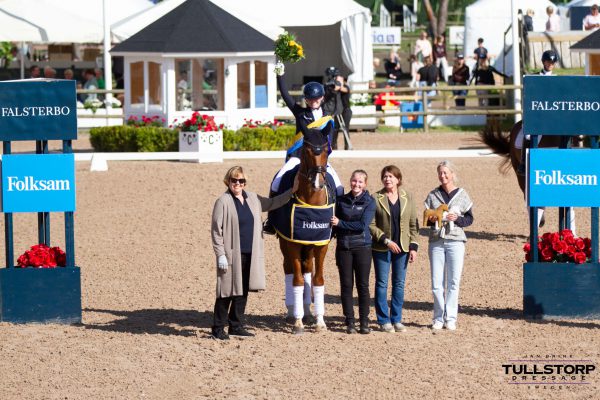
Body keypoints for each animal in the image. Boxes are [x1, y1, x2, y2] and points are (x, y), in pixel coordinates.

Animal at [278, 130, 332, 332]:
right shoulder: (293, 243)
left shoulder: (322, 244)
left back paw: (308, 312)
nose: (318, 183)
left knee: (308, 267)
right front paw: (298, 322)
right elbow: (298, 280)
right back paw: (292, 311)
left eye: (326, 151)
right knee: (288, 269)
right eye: (308, 151)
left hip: (308, 245)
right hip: (284, 244)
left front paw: (320, 321)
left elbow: (318, 279)